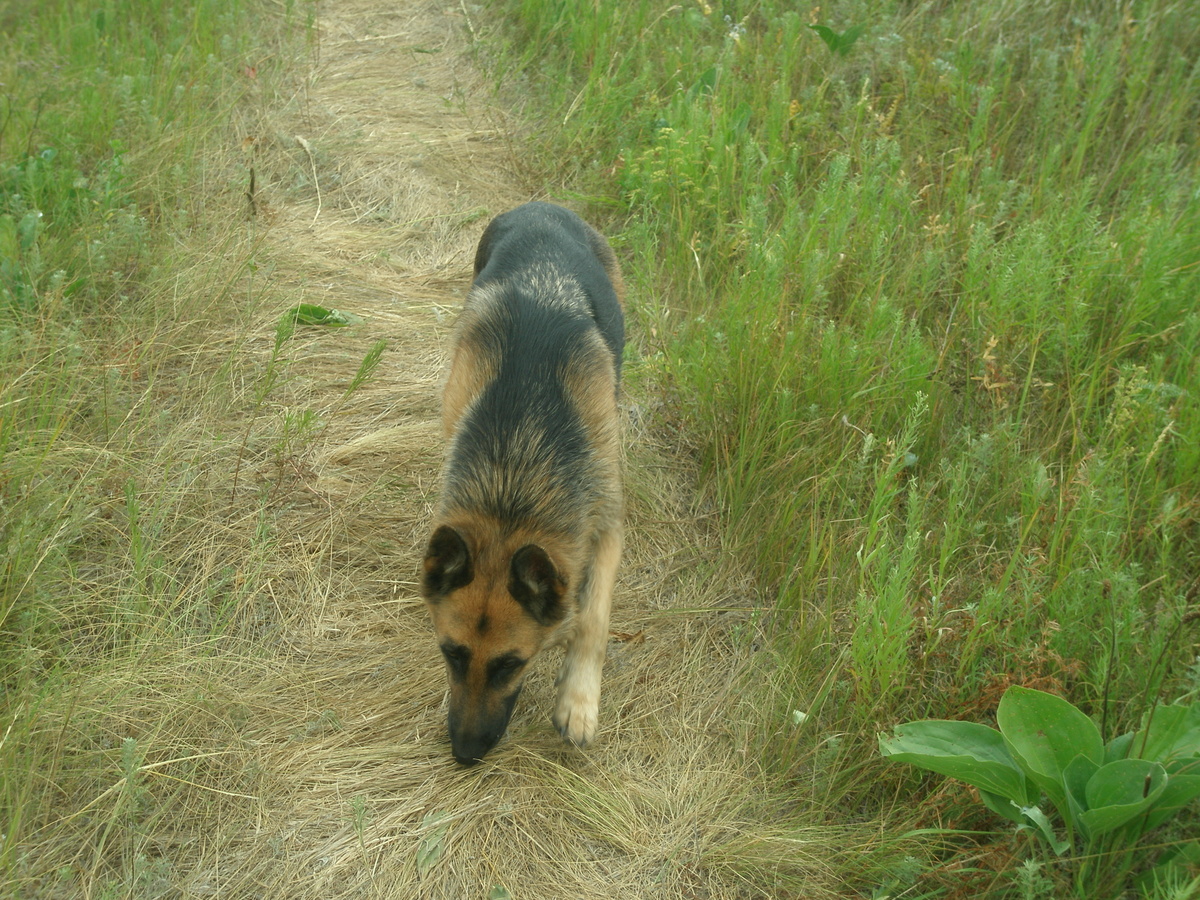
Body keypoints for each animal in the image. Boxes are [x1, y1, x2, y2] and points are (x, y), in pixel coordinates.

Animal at [420, 204, 624, 768]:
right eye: (451, 653)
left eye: (510, 665)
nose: (465, 754)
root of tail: (543, 206)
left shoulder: (608, 524)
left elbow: (593, 618)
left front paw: (579, 700)